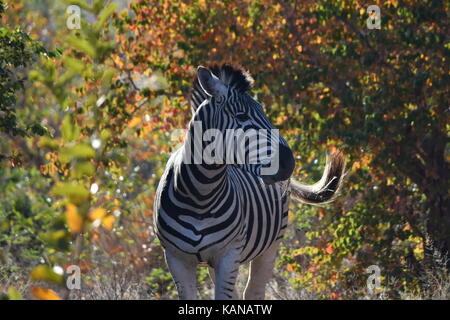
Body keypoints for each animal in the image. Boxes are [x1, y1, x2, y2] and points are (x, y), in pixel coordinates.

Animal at [153, 63, 346, 300]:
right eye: (241, 115)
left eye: (264, 113)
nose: (289, 163)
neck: (200, 195)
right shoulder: (175, 259)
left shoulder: (229, 253)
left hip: (271, 244)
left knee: (253, 291)